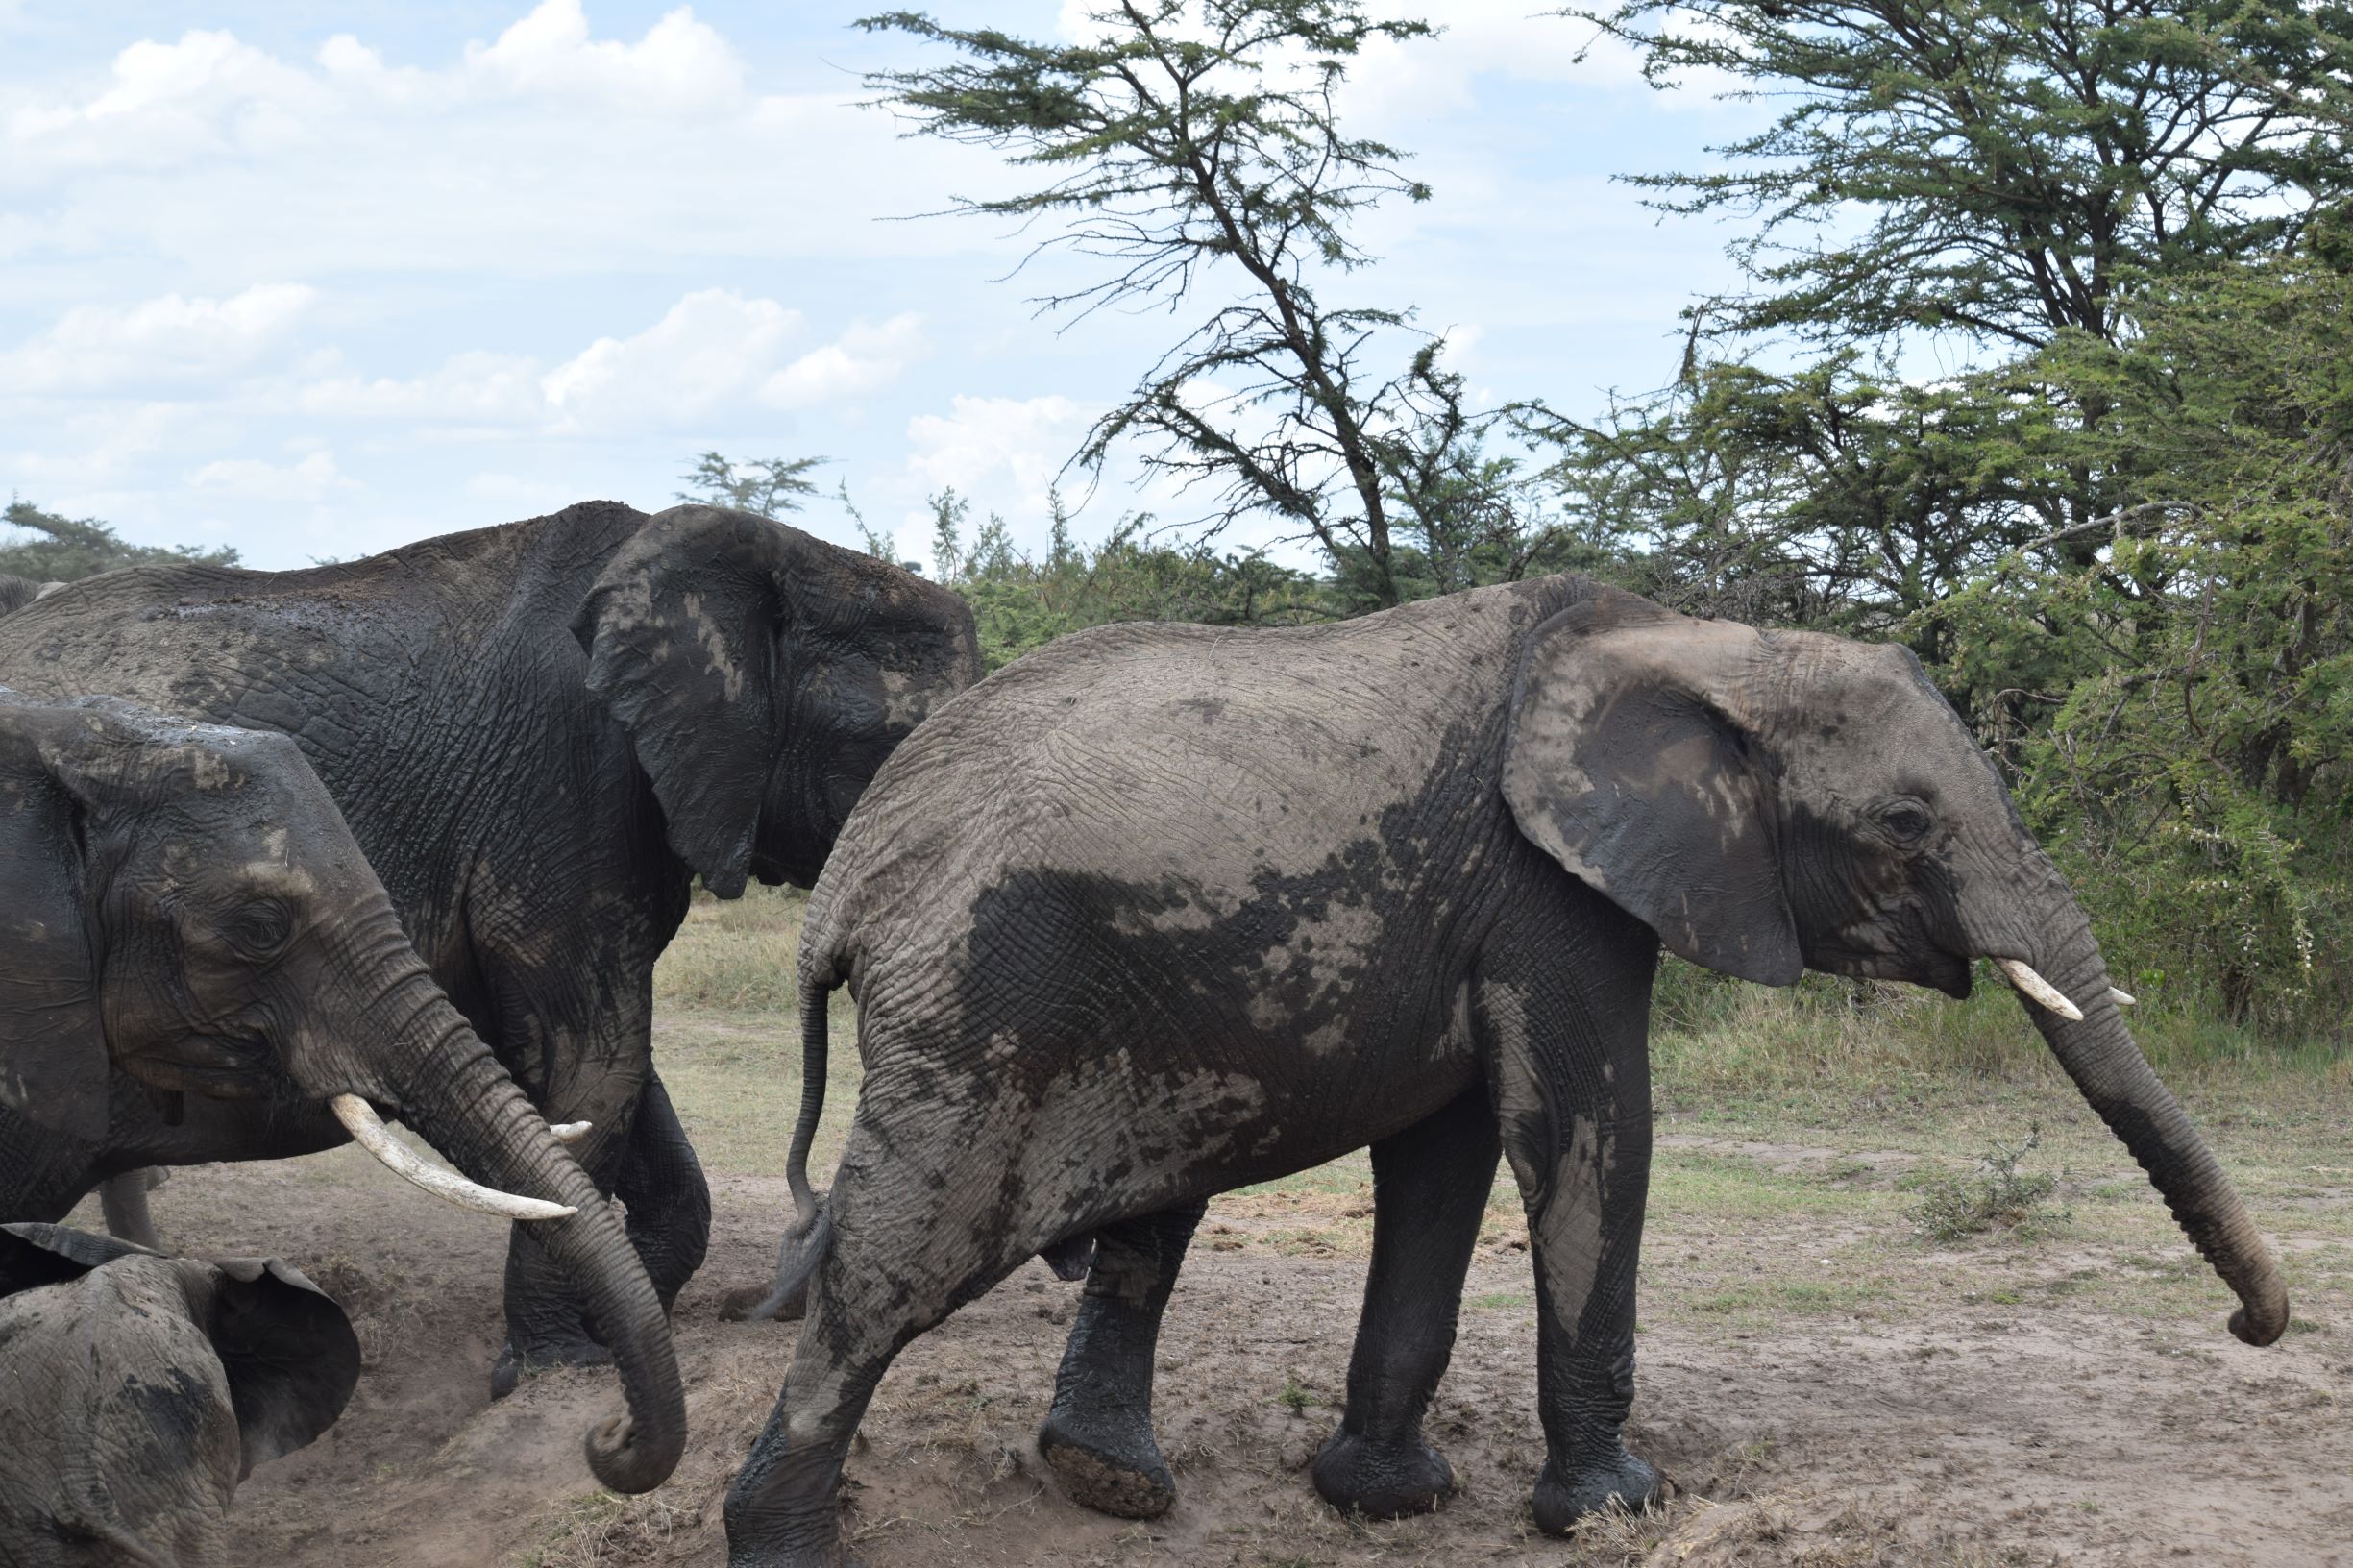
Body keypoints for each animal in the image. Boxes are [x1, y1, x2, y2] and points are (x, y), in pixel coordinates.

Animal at [0, 494, 983, 1384]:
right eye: (894, 746)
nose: (770, 1307)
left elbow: (599, 1079)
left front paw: (617, 1328)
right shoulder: (561, 778)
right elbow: (591, 1063)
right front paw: (555, 1370)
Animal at [724, 574, 2287, 1563]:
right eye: (1906, 822)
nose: (2253, 1328)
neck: (1712, 647)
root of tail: (843, 889)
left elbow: (1449, 1157)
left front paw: (1383, 1500)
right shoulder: (1553, 889)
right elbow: (1585, 1127)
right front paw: (1615, 1511)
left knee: (1139, 1218)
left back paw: (1111, 1486)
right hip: (980, 998)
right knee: (893, 1268)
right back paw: (785, 1539)